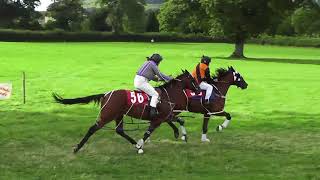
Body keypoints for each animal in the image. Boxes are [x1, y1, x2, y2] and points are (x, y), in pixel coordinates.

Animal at [52, 69, 200, 154]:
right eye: (192, 79)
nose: (198, 89)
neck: (167, 95)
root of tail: (105, 94)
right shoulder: (158, 118)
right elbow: (148, 132)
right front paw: (140, 145)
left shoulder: (165, 115)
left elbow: (179, 120)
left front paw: (181, 134)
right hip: (107, 115)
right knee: (92, 128)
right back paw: (77, 148)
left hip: (118, 115)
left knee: (119, 130)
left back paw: (134, 143)